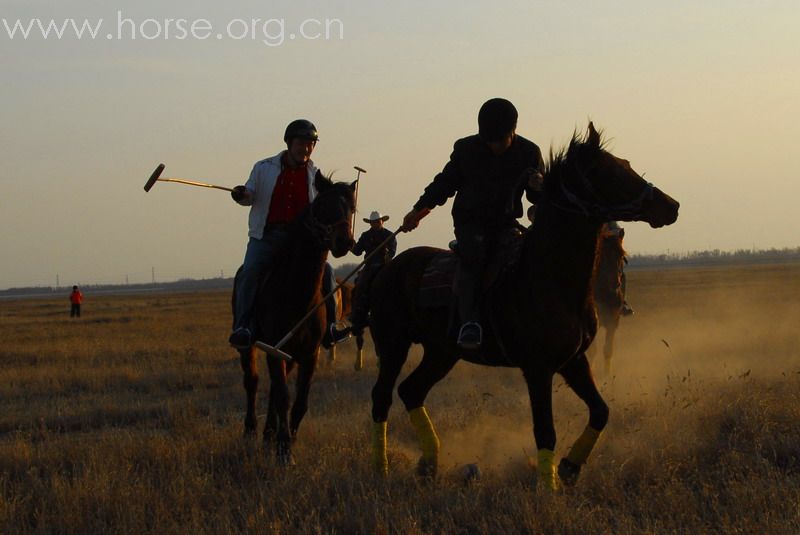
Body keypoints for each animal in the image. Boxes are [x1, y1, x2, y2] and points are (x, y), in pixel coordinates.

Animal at [233, 177, 354, 464]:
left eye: (351, 208)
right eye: (323, 204)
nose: (344, 241)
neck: (296, 293)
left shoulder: (309, 353)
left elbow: (299, 401)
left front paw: (289, 438)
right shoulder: (272, 349)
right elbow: (283, 396)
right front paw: (284, 450)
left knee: (274, 389)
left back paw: (268, 433)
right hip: (251, 346)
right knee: (252, 381)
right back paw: (251, 430)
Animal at [366, 124, 680, 490]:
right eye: (612, 172)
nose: (671, 206)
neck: (547, 277)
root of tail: (387, 268)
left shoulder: (573, 360)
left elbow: (601, 412)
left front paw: (570, 468)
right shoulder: (538, 368)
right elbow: (545, 431)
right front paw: (549, 487)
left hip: (442, 352)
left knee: (412, 391)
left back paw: (429, 463)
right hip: (393, 346)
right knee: (382, 398)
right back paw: (382, 468)